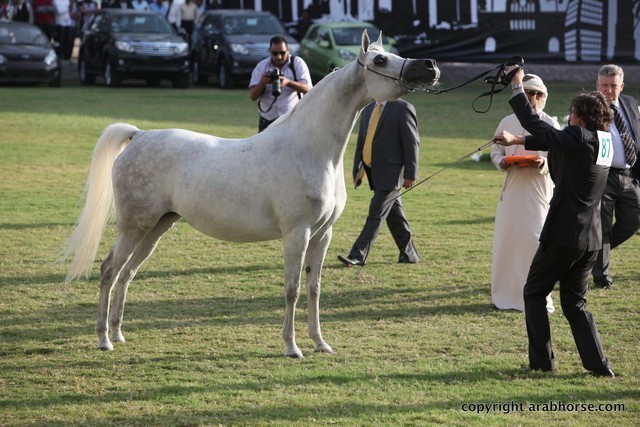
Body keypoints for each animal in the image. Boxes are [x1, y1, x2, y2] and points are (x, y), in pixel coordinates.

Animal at [62, 31, 440, 358]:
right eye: (379, 59)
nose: (430, 66)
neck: (308, 150)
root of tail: (139, 135)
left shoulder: (323, 235)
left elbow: (314, 289)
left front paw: (320, 343)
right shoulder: (297, 234)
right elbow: (292, 290)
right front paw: (292, 347)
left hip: (156, 227)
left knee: (127, 274)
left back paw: (117, 333)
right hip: (133, 227)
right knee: (109, 271)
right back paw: (103, 340)